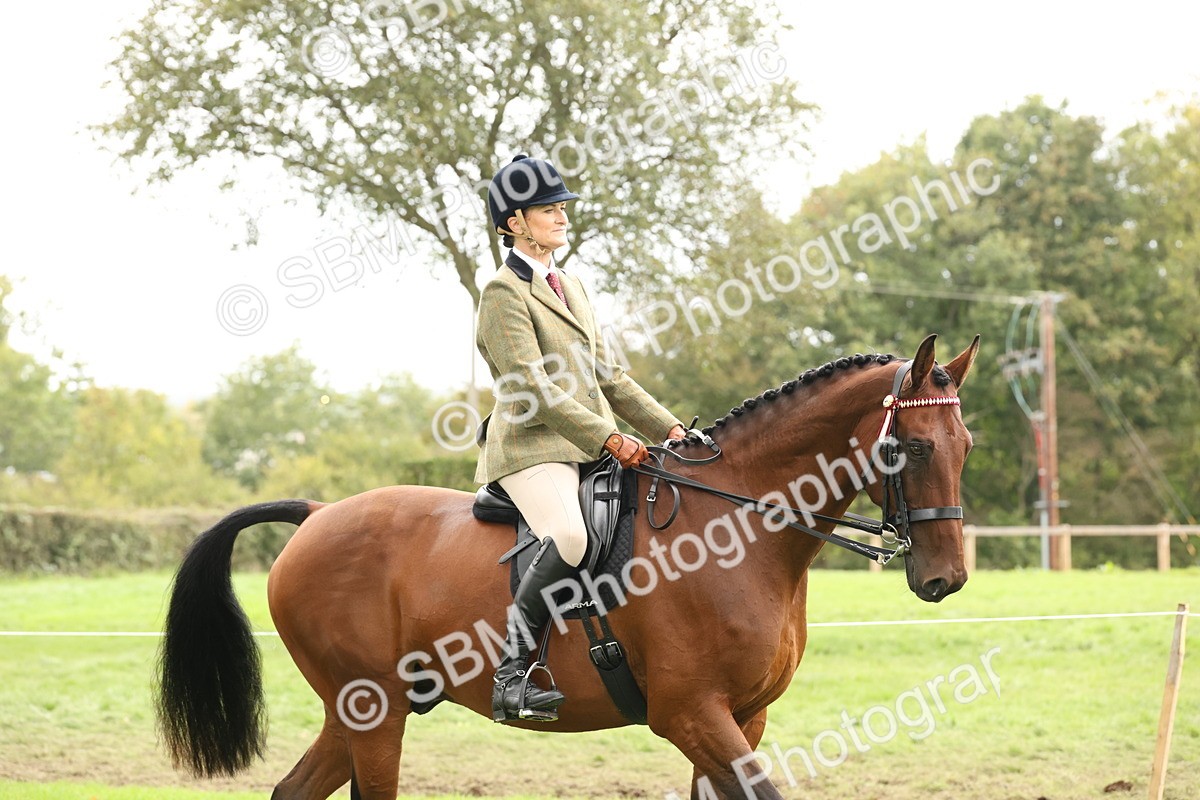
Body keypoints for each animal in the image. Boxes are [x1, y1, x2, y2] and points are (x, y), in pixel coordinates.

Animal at [156, 333, 979, 799]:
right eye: (913, 448)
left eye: (965, 445)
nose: (946, 578)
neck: (738, 525)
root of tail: (317, 516)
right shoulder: (692, 713)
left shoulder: (744, 716)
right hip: (375, 710)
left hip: (359, 709)